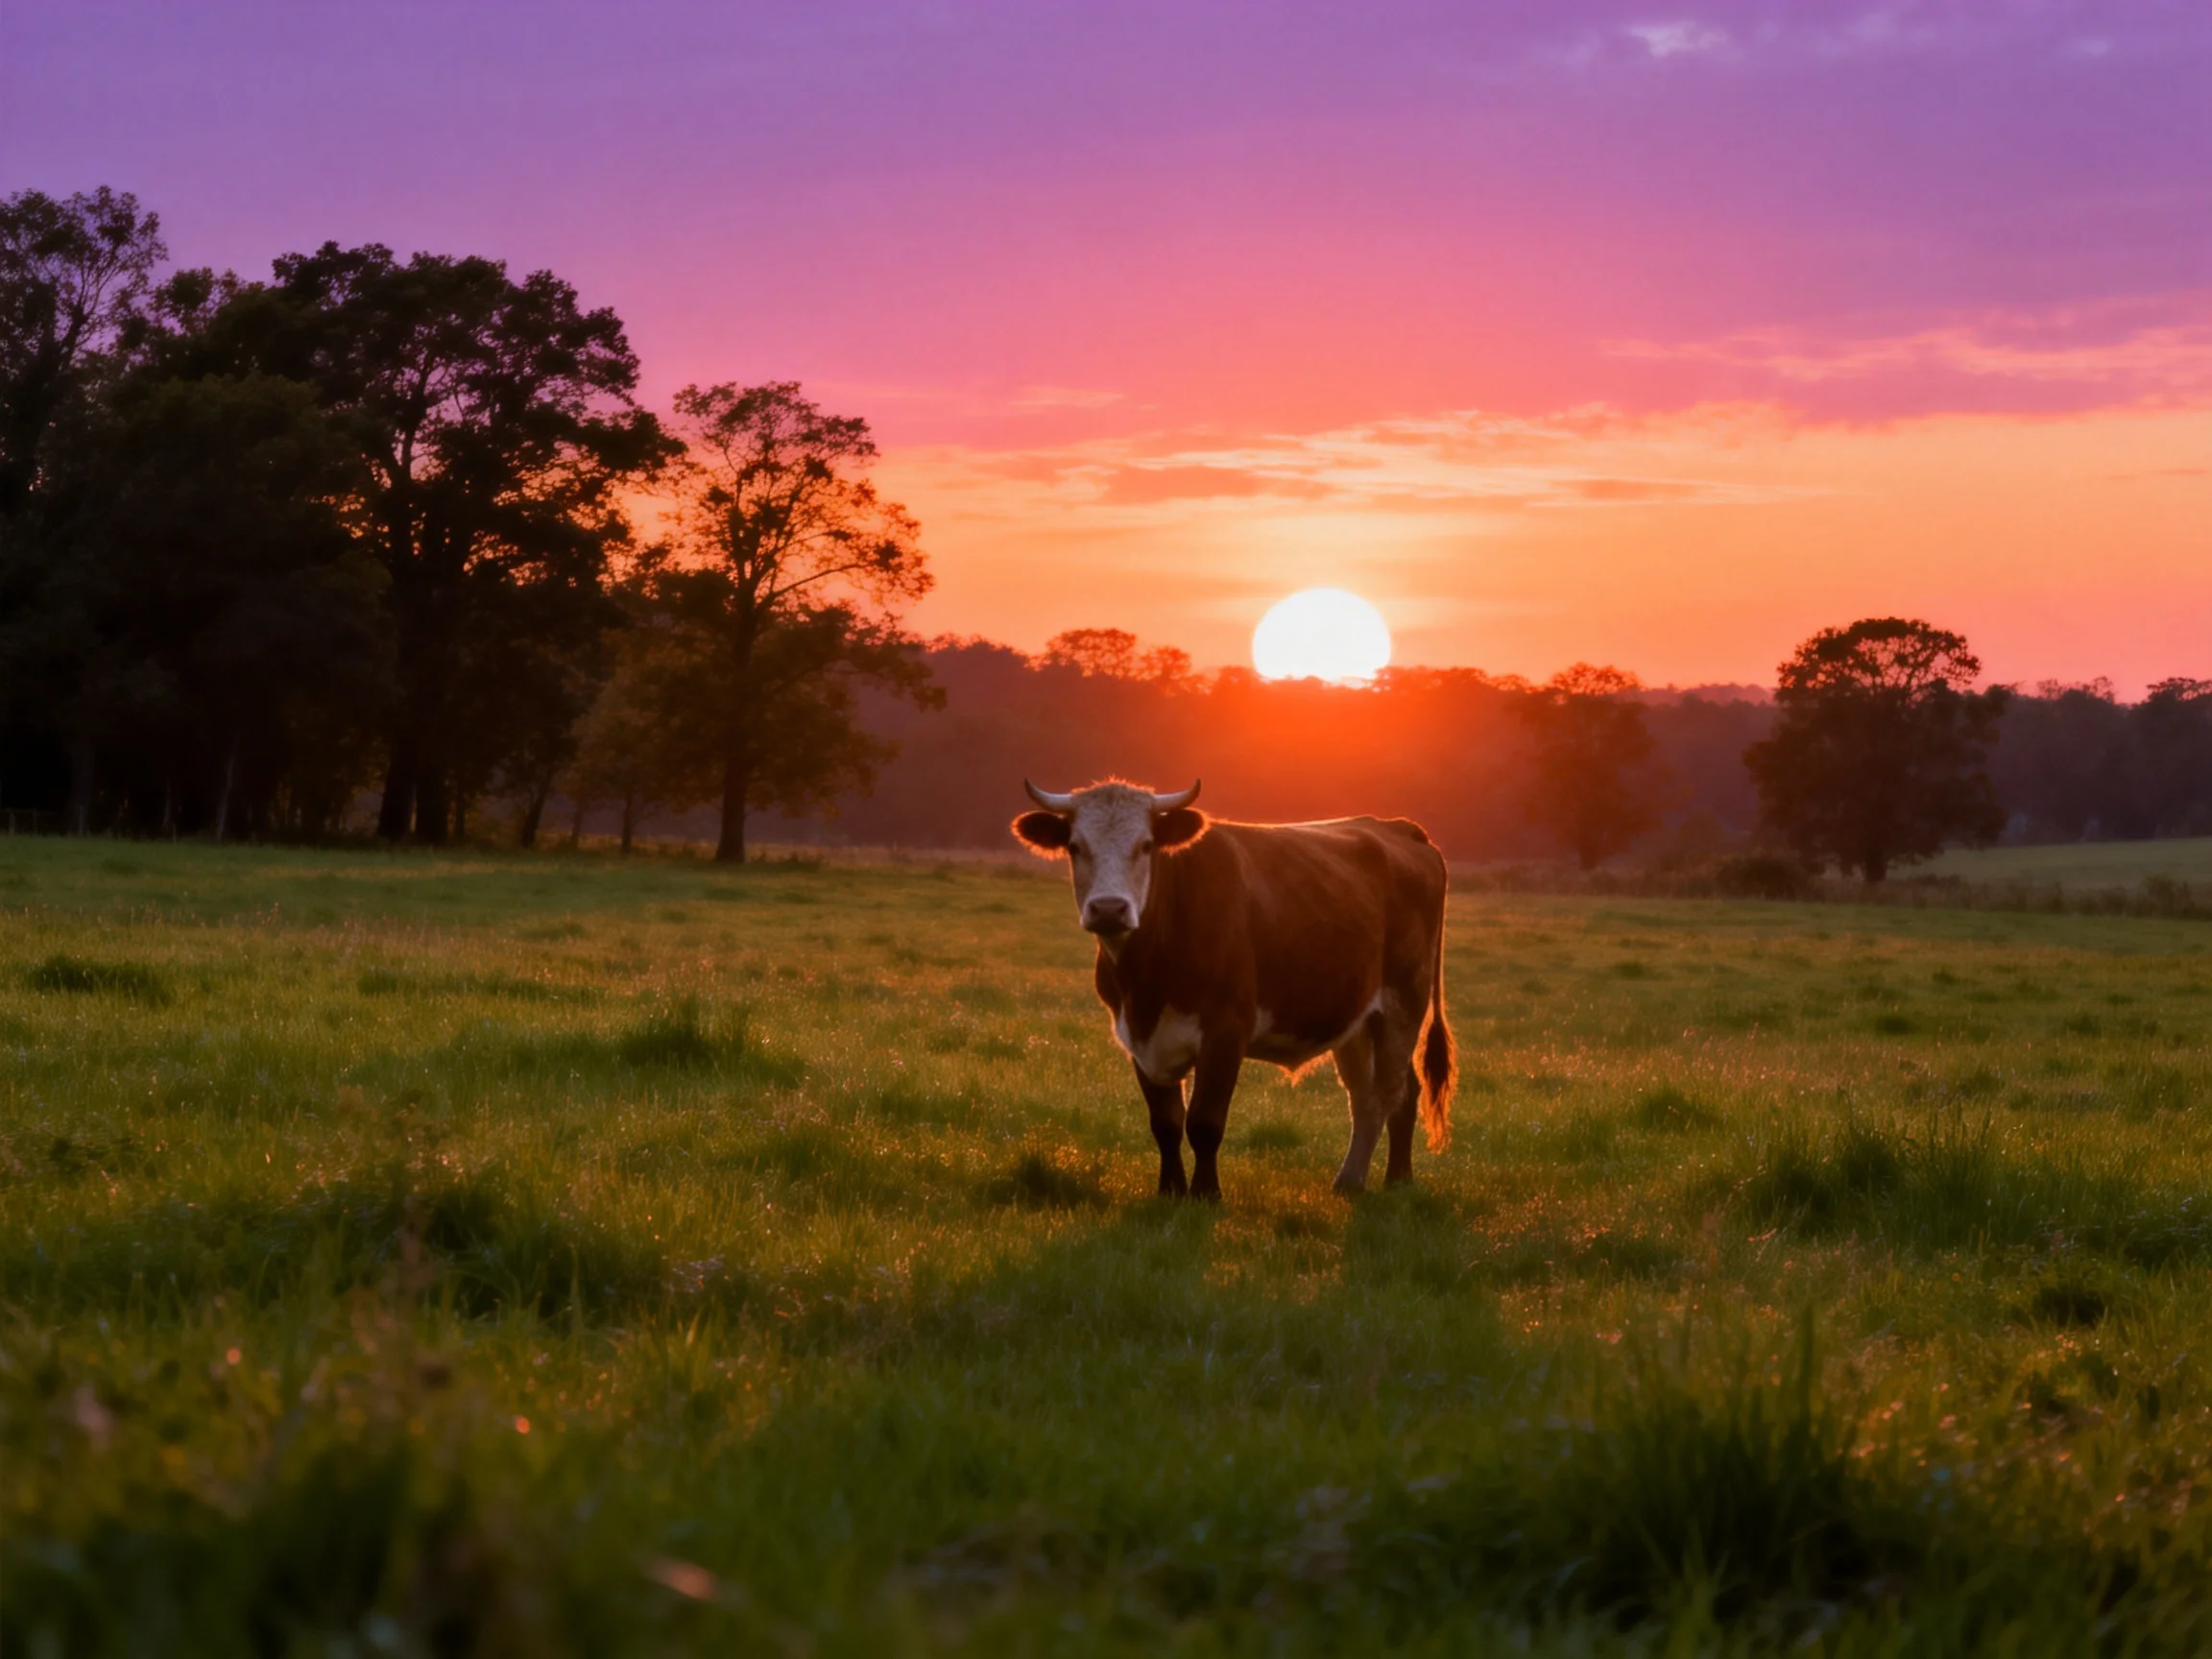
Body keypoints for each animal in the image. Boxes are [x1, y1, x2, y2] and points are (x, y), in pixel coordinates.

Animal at [1011, 778, 1454, 1201]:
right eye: (1074, 847)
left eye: (1147, 845)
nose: (1108, 908)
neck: (1148, 980)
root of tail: (1398, 828)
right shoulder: (1138, 1036)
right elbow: (1165, 1123)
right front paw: (1170, 1191)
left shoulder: (1226, 1031)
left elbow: (1205, 1121)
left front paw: (1207, 1194)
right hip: (1356, 1019)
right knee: (1367, 1097)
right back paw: (1353, 1181)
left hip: (1403, 1004)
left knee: (1394, 1092)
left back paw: (1393, 1179)